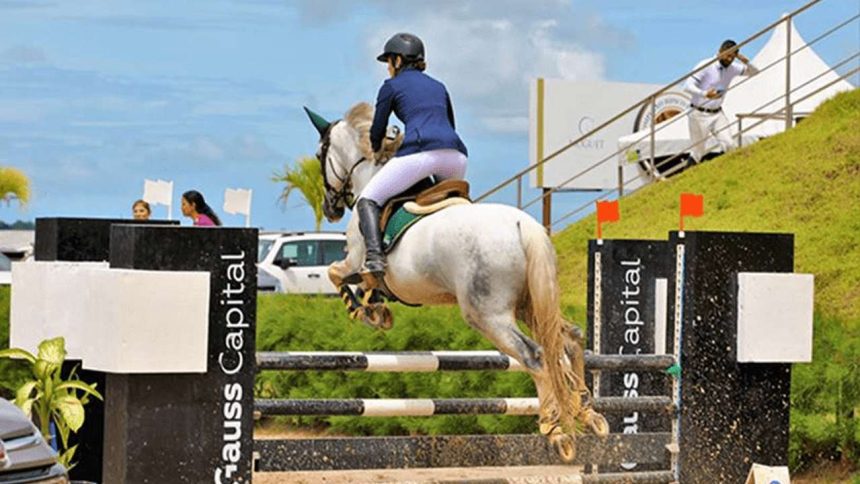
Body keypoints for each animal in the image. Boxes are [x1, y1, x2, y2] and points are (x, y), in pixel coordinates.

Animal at [305, 102, 608, 461]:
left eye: (319, 154)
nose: (331, 208)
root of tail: (523, 225)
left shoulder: (355, 259)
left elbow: (336, 273)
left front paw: (365, 313)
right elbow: (366, 285)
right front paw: (378, 310)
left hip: (486, 315)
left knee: (535, 356)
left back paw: (555, 430)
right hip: (530, 304)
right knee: (570, 338)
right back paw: (588, 413)